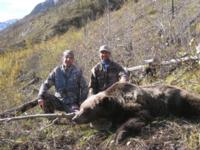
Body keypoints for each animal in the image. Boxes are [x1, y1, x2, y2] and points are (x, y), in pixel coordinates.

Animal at [72, 82, 200, 144]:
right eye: (81, 107)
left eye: (86, 109)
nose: (74, 119)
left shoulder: (136, 105)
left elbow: (139, 117)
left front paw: (120, 136)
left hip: (178, 99)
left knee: (193, 103)